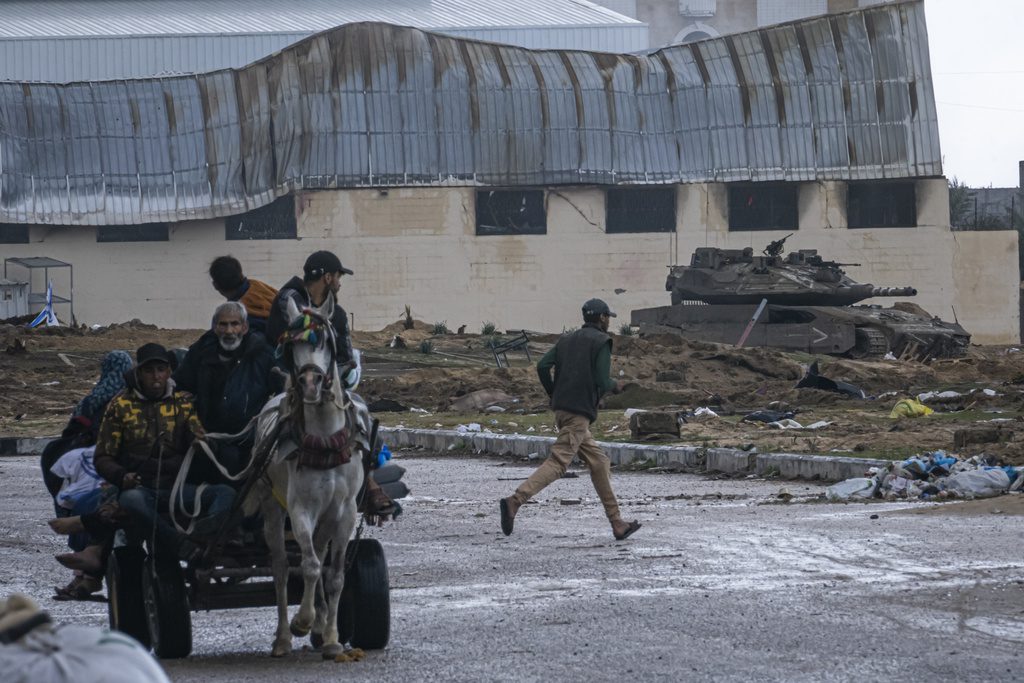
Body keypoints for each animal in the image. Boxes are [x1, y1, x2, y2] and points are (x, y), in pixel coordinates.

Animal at [243, 296, 372, 659]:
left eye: (326, 341)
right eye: (291, 346)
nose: (311, 383)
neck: (325, 441)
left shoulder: (345, 511)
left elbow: (335, 574)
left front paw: (330, 637)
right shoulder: (300, 509)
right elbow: (310, 566)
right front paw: (303, 621)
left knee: (318, 554)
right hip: (272, 508)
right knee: (282, 567)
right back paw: (284, 636)